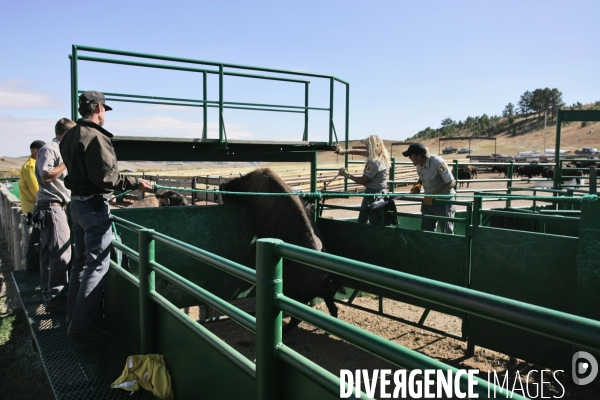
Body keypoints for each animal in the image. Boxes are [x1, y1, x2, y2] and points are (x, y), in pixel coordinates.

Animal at [220, 167, 342, 332]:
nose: (222, 185)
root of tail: (327, 276)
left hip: (295, 296)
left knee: (296, 318)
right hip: (327, 296)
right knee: (333, 309)